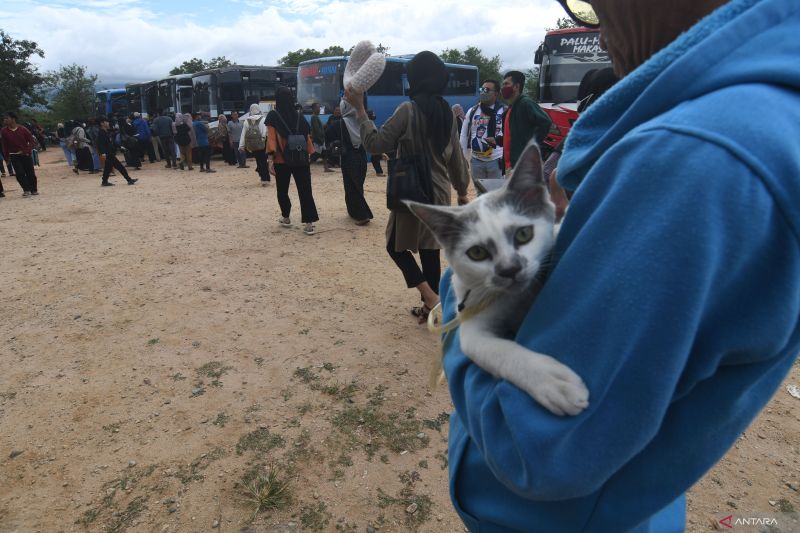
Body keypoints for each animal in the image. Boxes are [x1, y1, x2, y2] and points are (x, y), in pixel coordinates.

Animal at [406, 141, 588, 416]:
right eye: (477, 253)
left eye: (524, 234)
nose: (509, 268)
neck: (517, 298)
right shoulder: (470, 326)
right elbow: (499, 353)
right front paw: (552, 380)